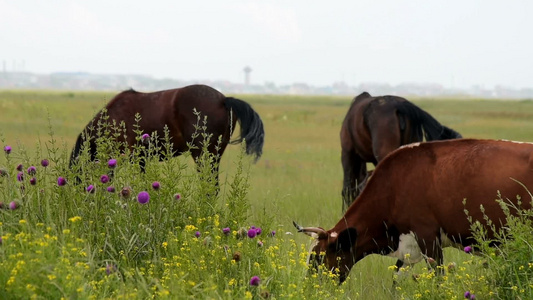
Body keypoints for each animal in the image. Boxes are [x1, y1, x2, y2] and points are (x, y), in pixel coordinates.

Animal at [294, 139, 532, 282]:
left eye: (317, 258)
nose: (308, 288)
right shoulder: (409, 245)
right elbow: (396, 280)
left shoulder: (428, 237)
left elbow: (438, 278)